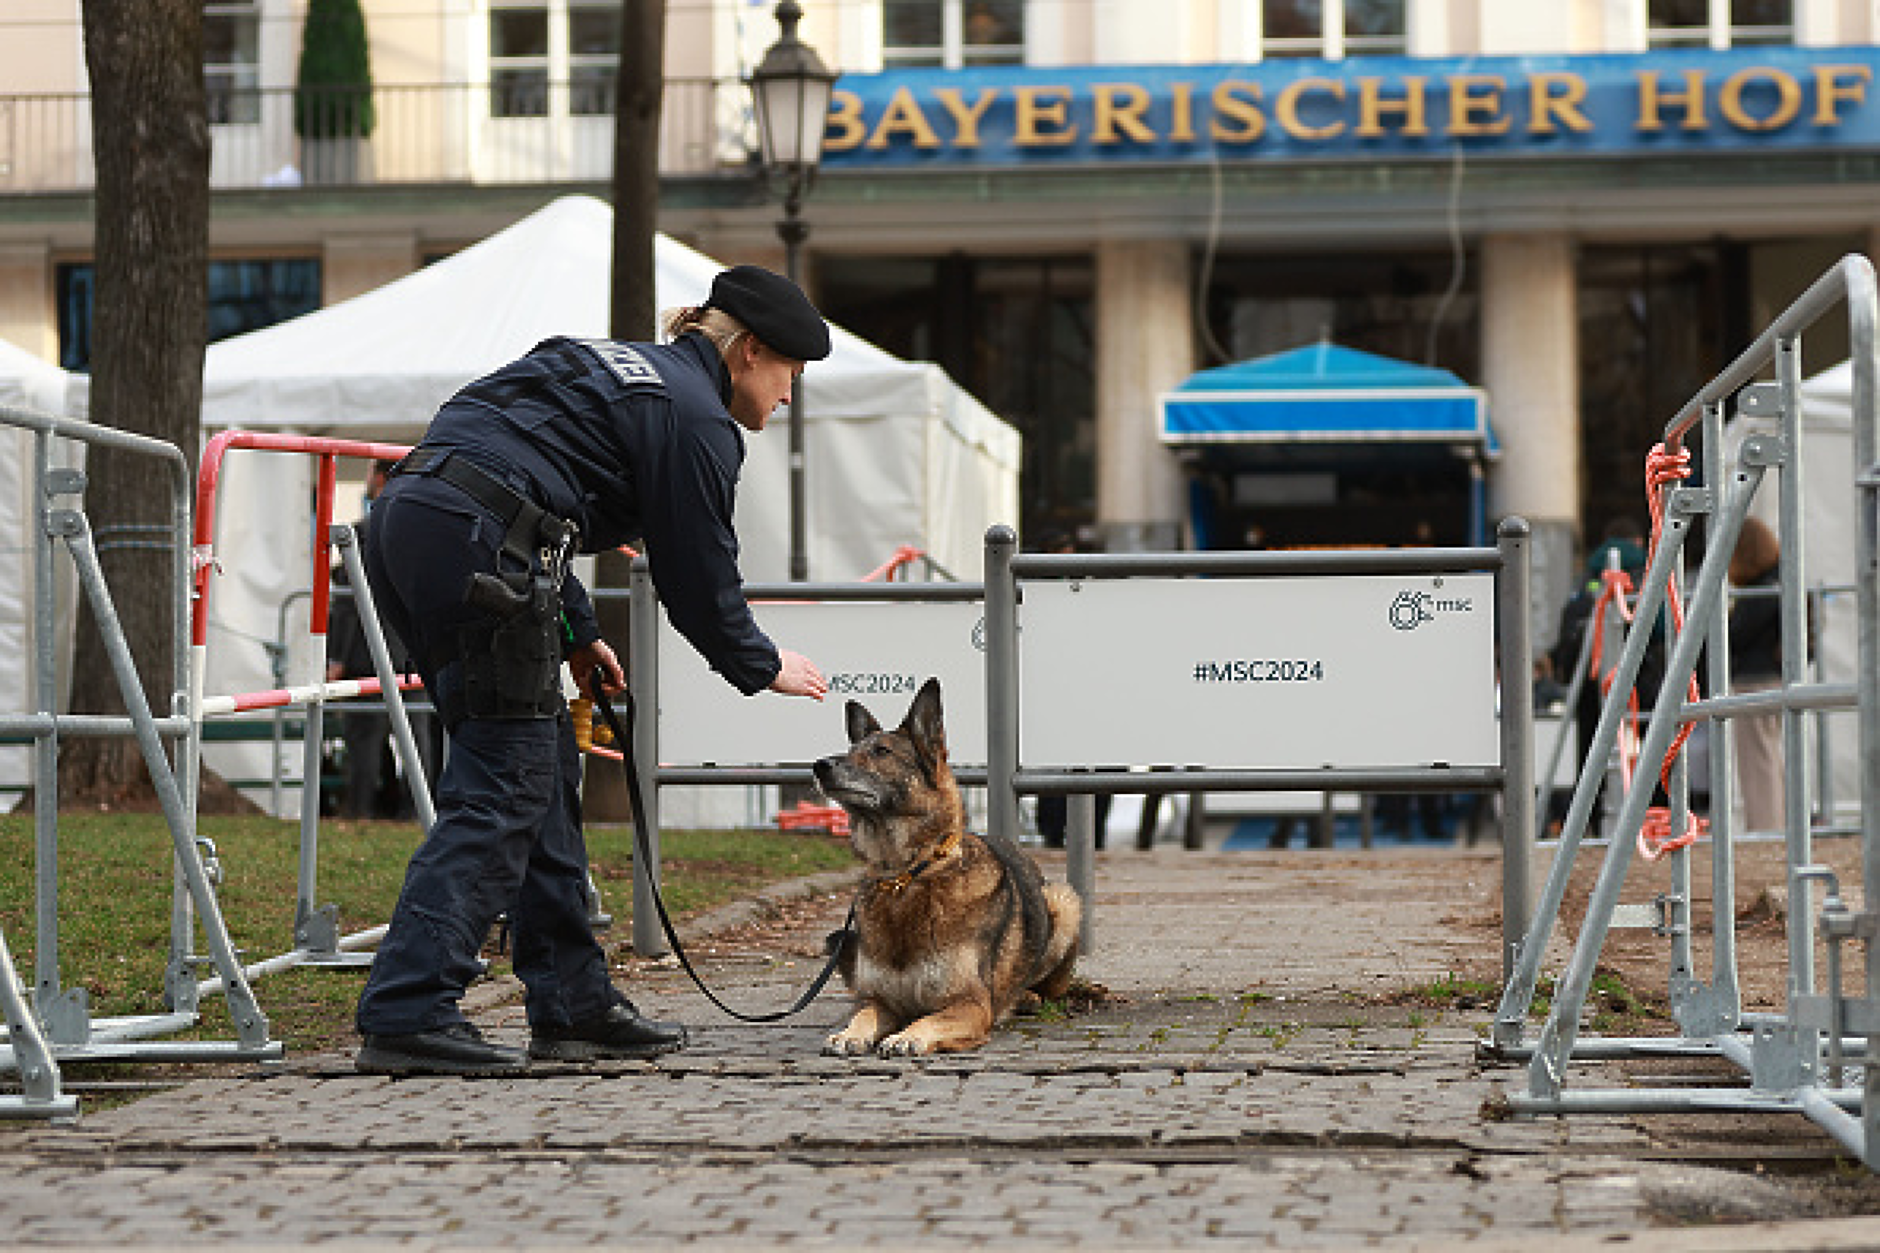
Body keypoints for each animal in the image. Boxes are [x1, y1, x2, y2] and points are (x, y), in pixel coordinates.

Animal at [812, 673, 1090, 1053]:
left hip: (1065, 901)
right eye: (851, 751)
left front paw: (908, 1036)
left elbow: (930, 1019)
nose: (819, 766)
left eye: (881, 751)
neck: (906, 876)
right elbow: (863, 1014)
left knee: (1047, 988)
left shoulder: (970, 1005)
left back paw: (1027, 997)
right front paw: (849, 1033)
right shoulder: (880, 1001)